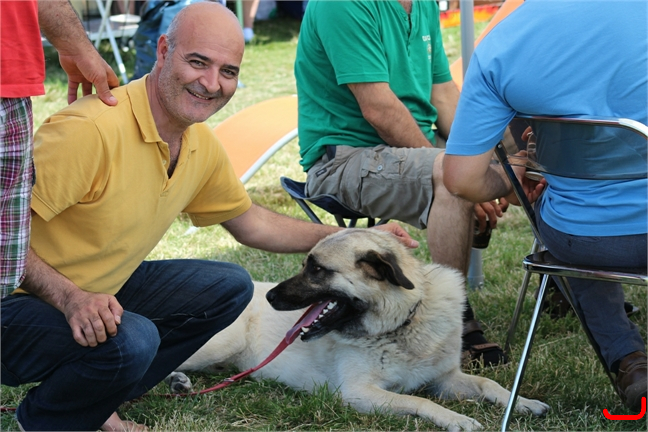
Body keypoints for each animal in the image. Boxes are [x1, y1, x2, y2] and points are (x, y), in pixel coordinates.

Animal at [169, 229, 549, 431]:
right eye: (307, 265)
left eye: (316, 269)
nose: (270, 296)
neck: (401, 325)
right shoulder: (358, 392)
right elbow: (417, 400)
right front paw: (456, 418)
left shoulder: (446, 379)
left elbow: (488, 383)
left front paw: (523, 402)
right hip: (217, 347)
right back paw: (174, 380)